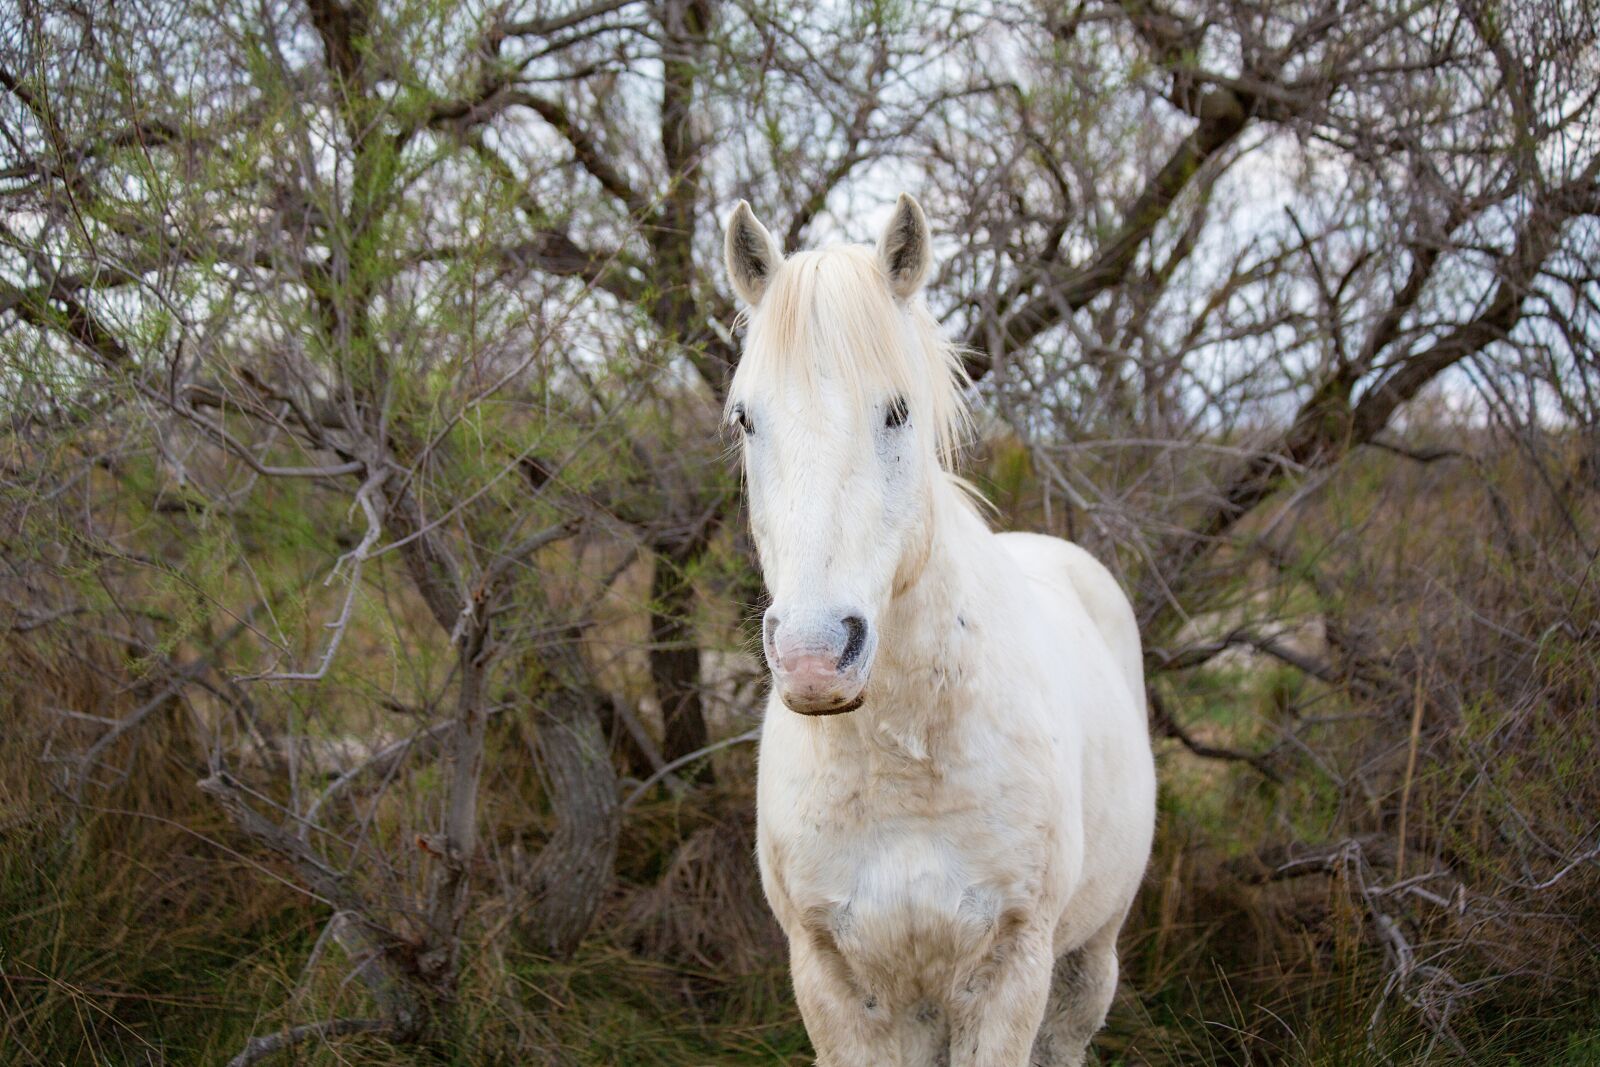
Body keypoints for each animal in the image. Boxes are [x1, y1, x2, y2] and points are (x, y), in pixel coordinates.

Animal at [721, 193, 1157, 1067]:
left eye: (897, 411)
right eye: (746, 418)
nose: (815, 656)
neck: (904, 765)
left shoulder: (1010, 973)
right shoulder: (833, 983)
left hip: (1088, 960)